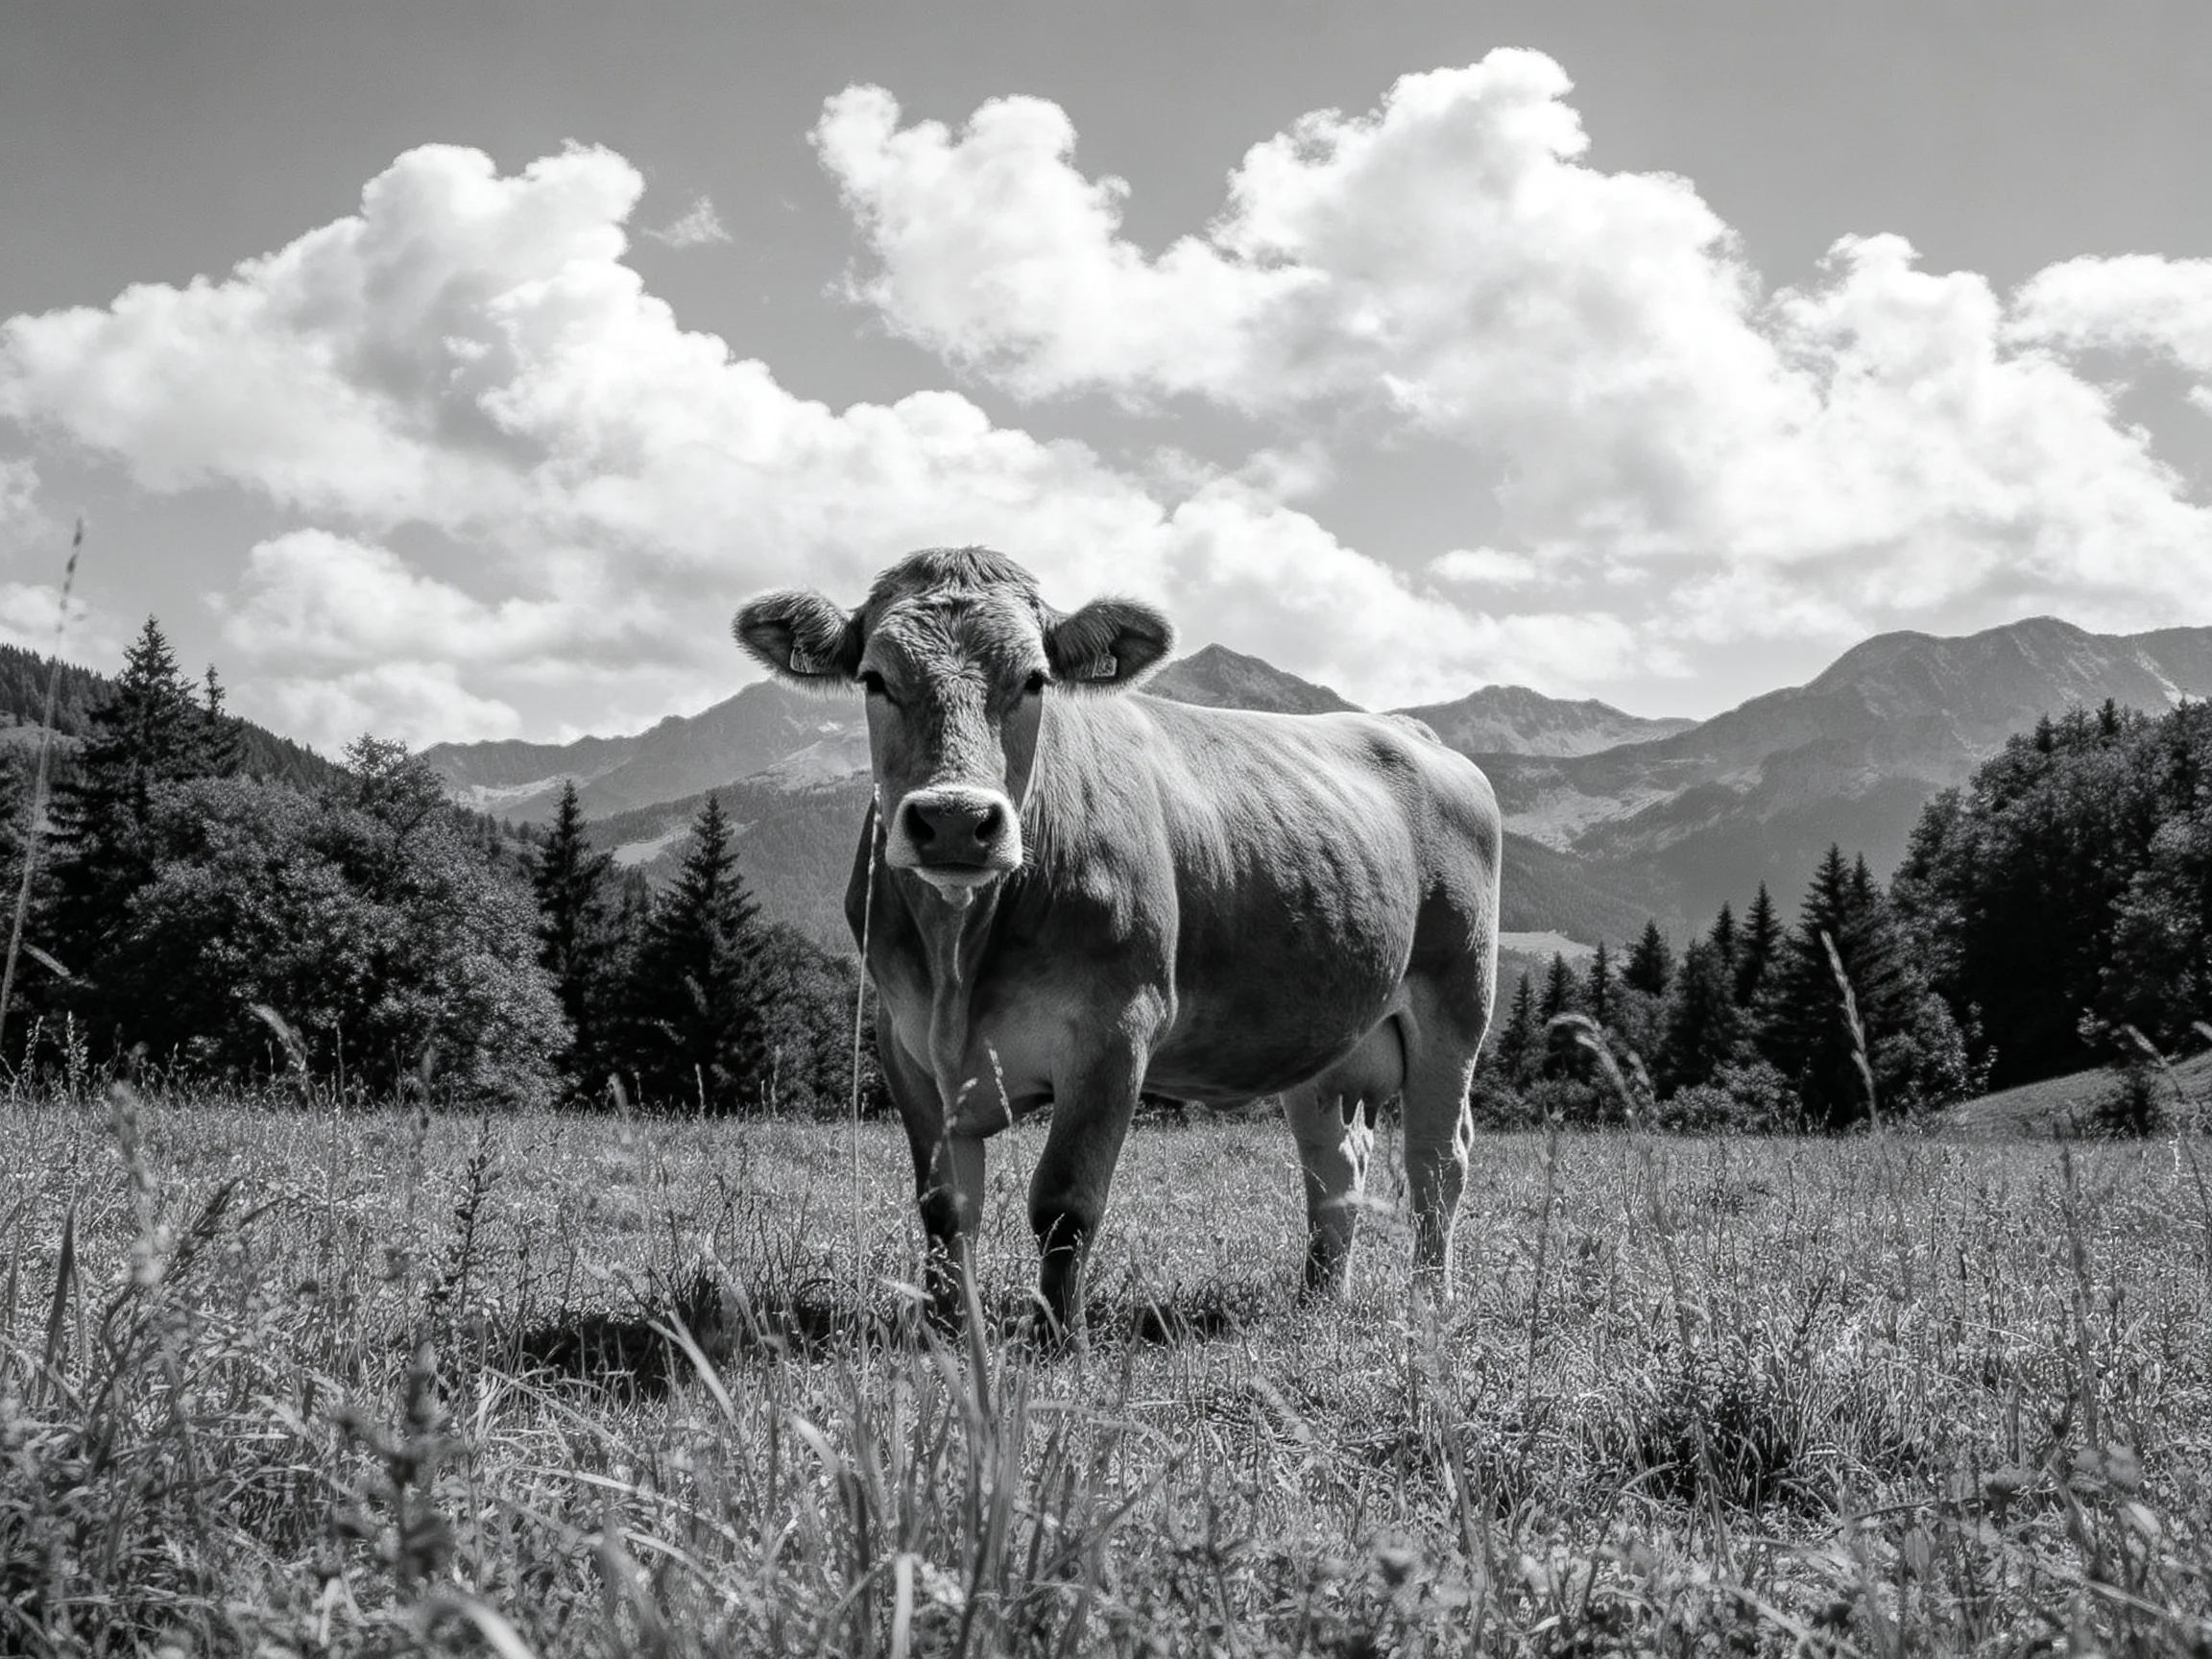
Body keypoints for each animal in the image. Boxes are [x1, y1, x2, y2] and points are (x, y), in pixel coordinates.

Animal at [734, 548, 1500, 1337]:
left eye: (1035, 679)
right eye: (874, 679)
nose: (954, 820)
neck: (960, 965)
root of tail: (1410, 732)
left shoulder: (1114, 1031)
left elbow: (1065, 1202)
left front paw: (1055, 1336)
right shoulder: (903, 1040)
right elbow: (944, 1208)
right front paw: (947, 1330)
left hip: (1457, 1001)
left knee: (1438, 1160)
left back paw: (1429, 1304)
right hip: (1321, 1038)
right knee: (1335, 1163)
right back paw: (1317, 1302)